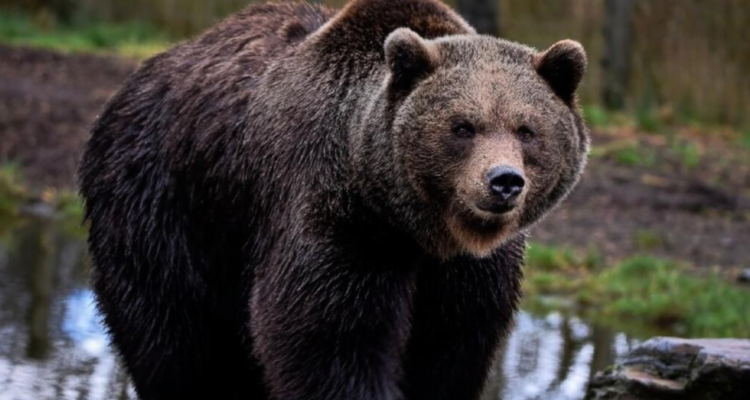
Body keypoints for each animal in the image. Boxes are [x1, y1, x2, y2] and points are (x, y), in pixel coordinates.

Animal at [78, 0, 590, 399]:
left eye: (526, 129)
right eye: (463, 127)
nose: (503, 181)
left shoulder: (467, 275)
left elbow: (450, 349)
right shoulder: (338, 222)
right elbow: (329, 339)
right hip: (164, 204)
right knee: (173, 339)